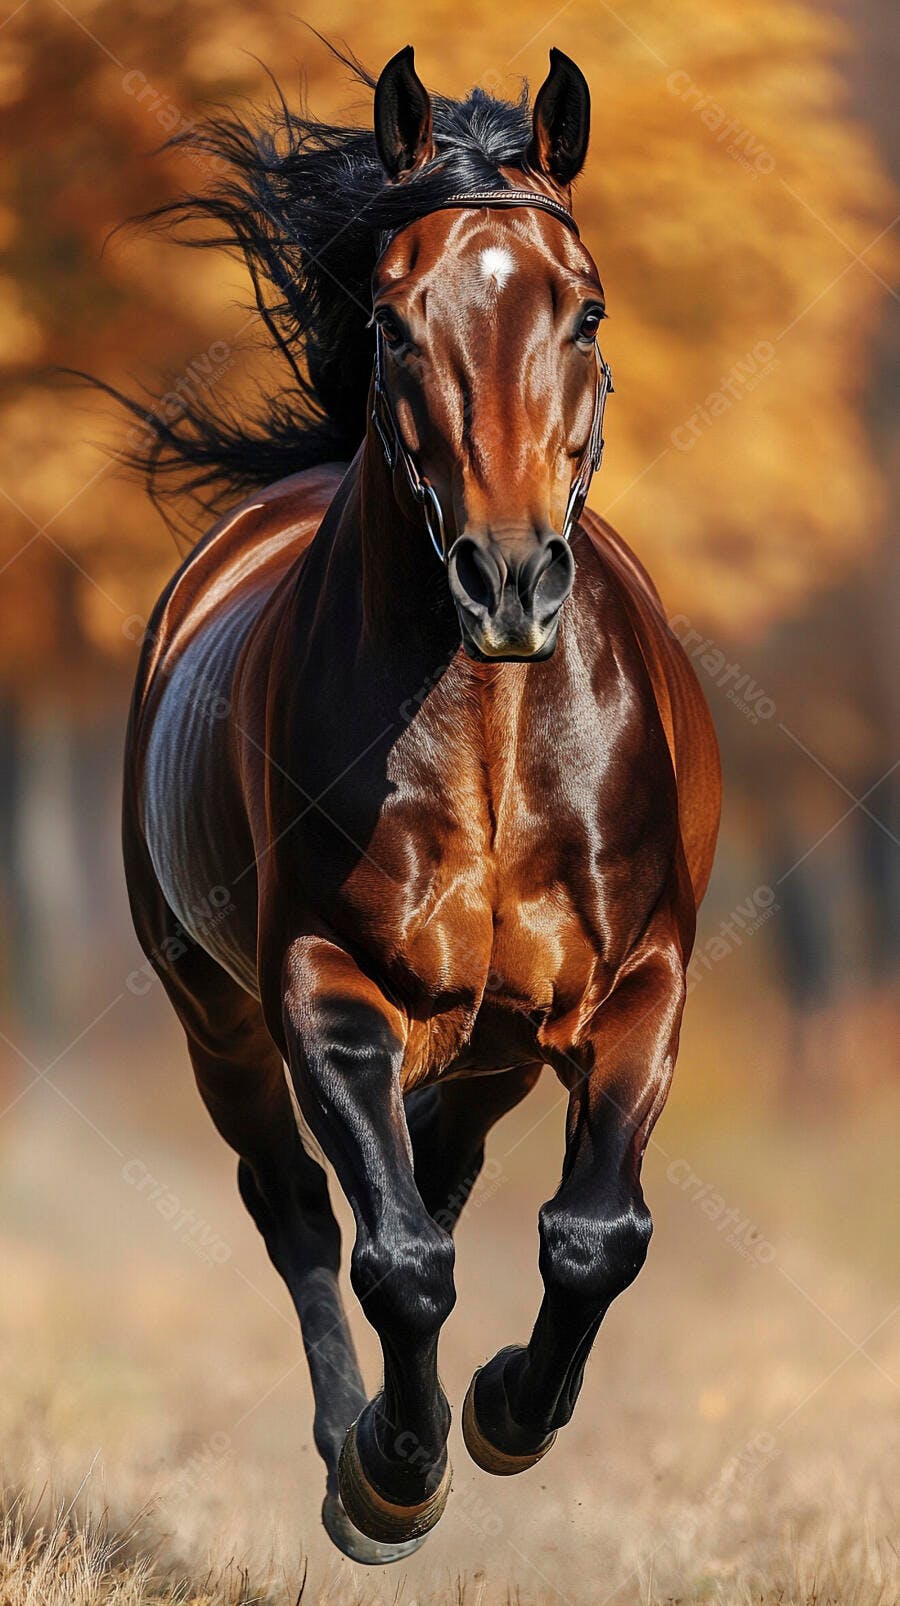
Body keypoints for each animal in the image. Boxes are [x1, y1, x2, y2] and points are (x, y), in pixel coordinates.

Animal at [119, 44, 720, 1565]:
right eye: (395, 321)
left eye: (586, 309)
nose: (508, 580)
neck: (497, 741)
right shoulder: (321, 981)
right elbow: (394, 1253)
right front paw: (393, 1472)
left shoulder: (643, 979)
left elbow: (595, 1233)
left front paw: (508, 1408)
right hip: (211, 1008)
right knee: (298, 1209)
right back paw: (362, 1441)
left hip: (498, 1039)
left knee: (443, 1165)